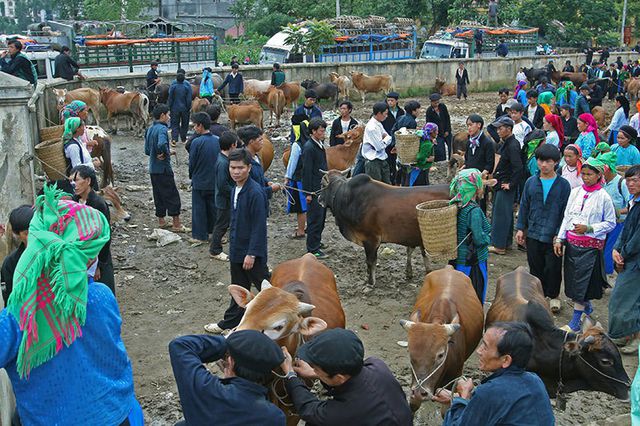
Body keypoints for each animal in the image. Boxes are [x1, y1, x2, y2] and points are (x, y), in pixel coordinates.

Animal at [316, 171, 450, 286]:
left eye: (322, 184)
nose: (318, 199)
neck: (347, 198)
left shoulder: (370, 239)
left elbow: (370, 261)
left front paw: (370, 282)